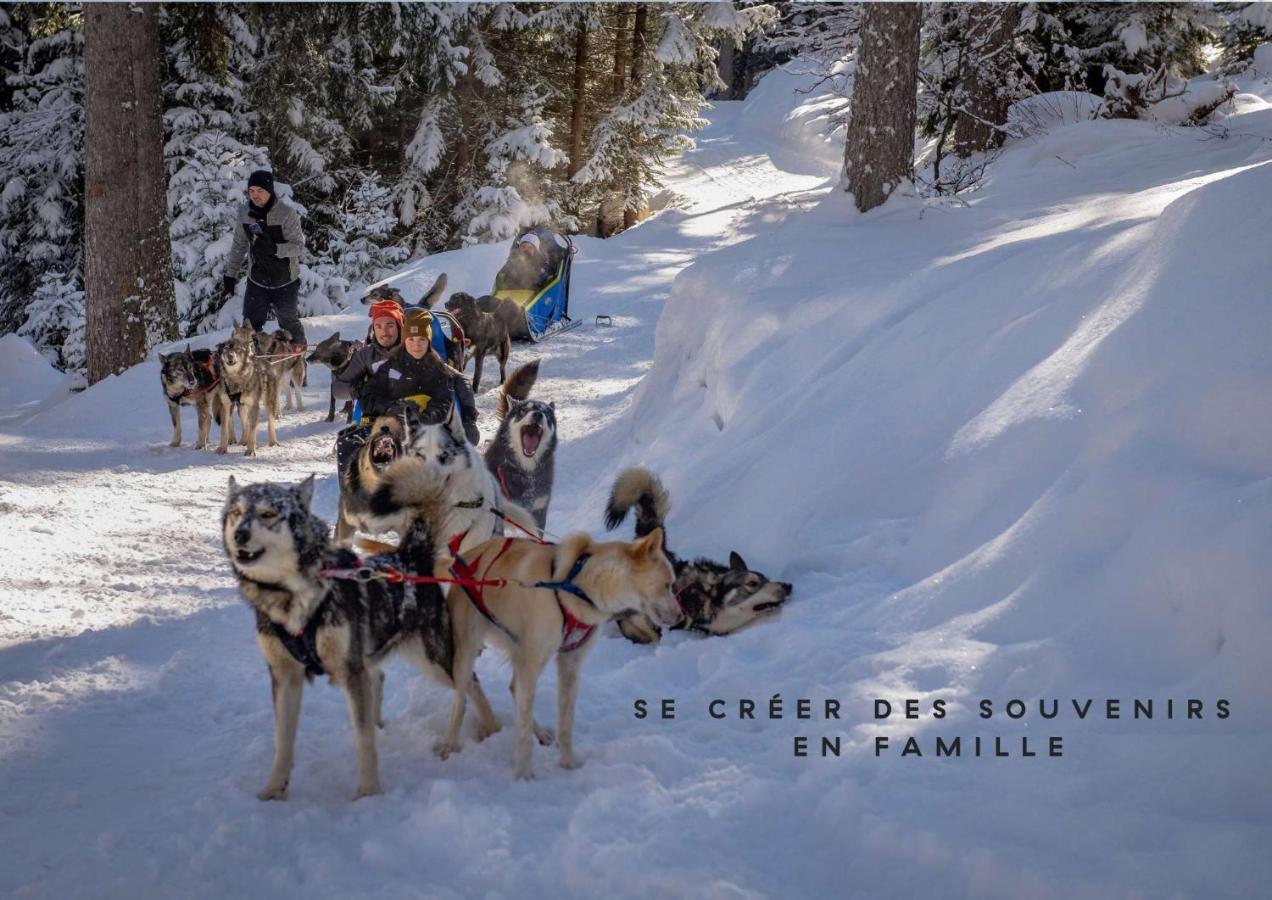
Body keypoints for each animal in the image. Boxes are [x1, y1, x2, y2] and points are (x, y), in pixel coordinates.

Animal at [214, 320, 279, 452]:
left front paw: (250, 450)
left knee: (270, 422)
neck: (235, 377)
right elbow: (225, 429)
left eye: (238, 349)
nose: (230, 356)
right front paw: (223, 448)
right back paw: (243, 440)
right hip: (242, 407)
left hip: (268, 401)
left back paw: (273, 442)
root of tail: (266, 362)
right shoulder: (226, 405)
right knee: (245, 423)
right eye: (226, 349)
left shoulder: (254, 406)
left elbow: (253, 430)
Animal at [221, 470, 498, 803]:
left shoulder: (350, 672)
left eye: (267, 514)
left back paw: (493, 729)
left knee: (469, 682)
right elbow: (283, 741)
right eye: (236, 513)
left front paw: (368, 793)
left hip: (432, 659)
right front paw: (274, 790)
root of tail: (408, 555)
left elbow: (363, 739)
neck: (293, 594)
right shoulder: (285, 675)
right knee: (379, 678)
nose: (240, 534)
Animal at [437, 526, 681, 777]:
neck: (574, 586)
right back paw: (450, 744)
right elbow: (522, 733)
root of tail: (463, 558)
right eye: (668, 584)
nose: (681, 617)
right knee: (461, 697)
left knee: (514, 688)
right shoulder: (530, 662)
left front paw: (568, 764)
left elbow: (565, 725)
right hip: (468, 652)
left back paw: (540, 733)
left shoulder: (570, 663)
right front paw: (523, 775)